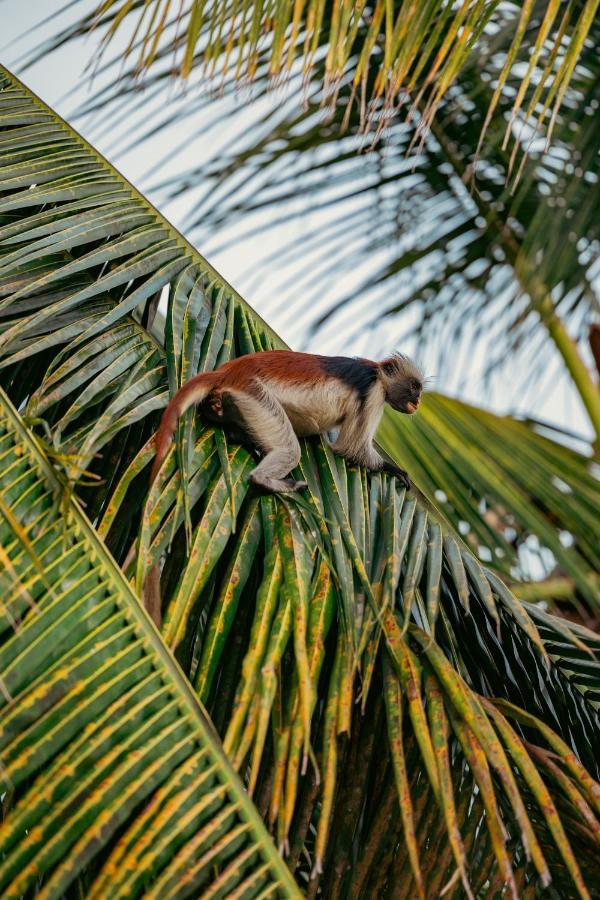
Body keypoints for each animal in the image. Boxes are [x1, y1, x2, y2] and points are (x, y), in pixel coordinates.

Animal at [149, 350, 422, 492]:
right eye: (414, 387)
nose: (418, 401)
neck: (376, 371)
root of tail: (230, 371)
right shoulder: (373, 391)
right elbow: (349, 448)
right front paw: (393, 469)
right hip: (254, 393)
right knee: (290, 450)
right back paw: (263, 479)